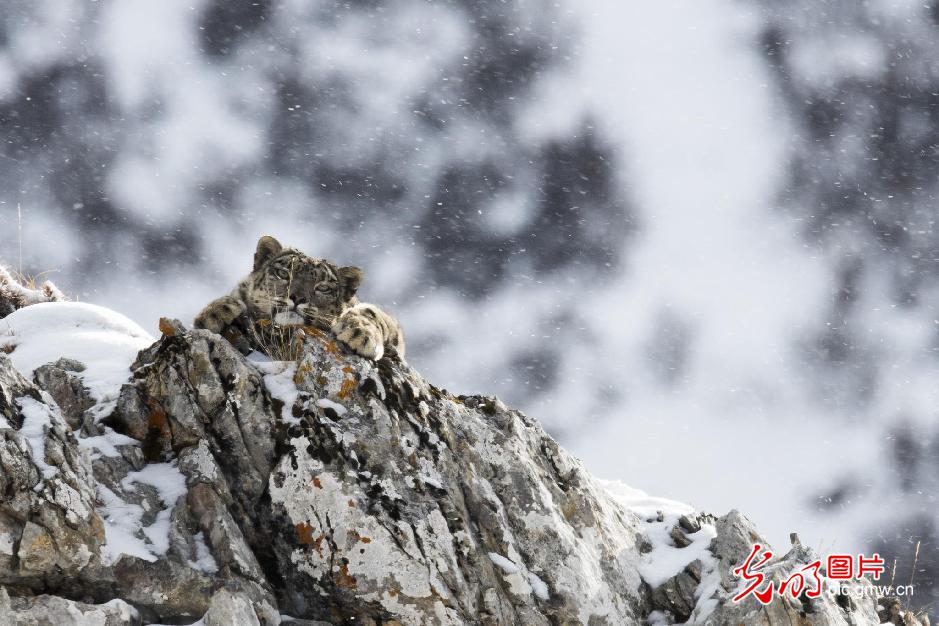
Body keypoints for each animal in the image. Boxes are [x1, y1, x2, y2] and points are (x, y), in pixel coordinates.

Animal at [195, 234, 404, 360]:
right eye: (283, 273)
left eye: (323, 287)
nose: (297, 297)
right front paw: (216, 312)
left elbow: (372, 312)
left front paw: (360, 334)